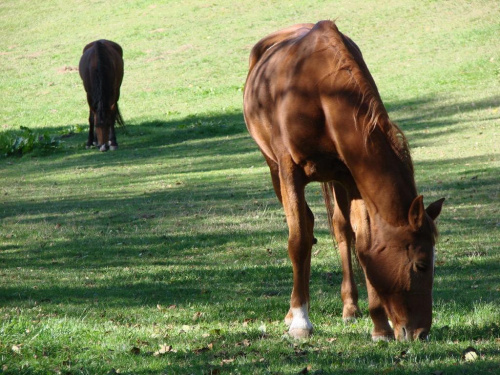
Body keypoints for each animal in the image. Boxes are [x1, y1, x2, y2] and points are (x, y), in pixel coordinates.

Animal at [244, 22, 444, 342]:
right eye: (421, 264)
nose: (421, 332)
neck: (321, 91)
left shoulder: (351, 177)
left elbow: (363, 244)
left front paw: (380, 327)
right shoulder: (289, 170)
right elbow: (298, 240)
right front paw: (301, 322)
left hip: (335, 180)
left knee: (340, 229)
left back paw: (350, 308)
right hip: (274, 170)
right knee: (304, 226)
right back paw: (293, 312)